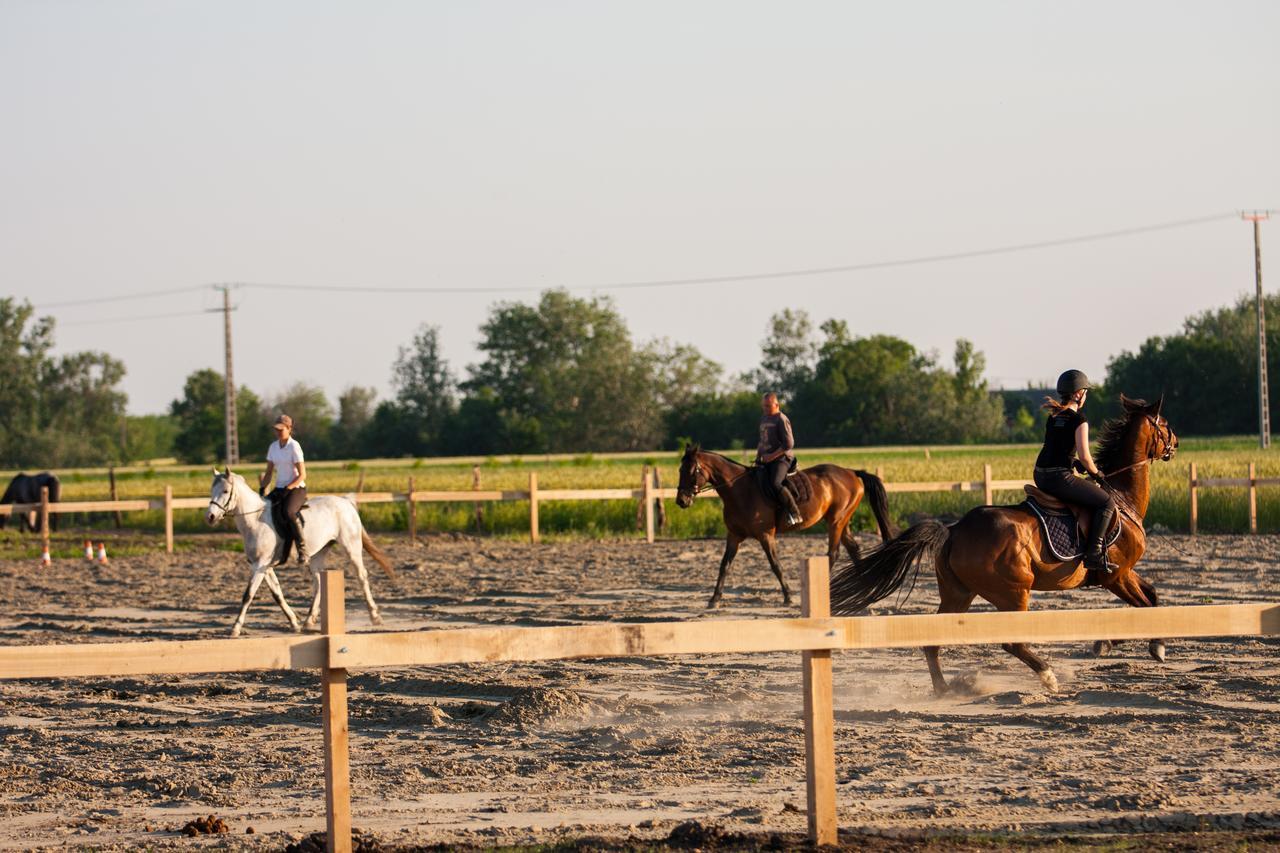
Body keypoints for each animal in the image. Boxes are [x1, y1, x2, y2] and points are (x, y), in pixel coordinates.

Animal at [203, 468, 394, 635]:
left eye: (226, 491)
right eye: (212, 490)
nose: (210, 517)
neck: (255, 520)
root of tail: (345, 501)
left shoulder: (260, 564)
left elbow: (248, 595)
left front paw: (235, 628)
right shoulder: (264, 566)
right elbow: (277, 594)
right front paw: (294, 622)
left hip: (351, 547)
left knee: (361, 575)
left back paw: (375, 616)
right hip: (318, 554)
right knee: (318, 581)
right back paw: (309, 620)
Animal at [675, 440, 896, 607]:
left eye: (692, 470)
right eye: (680, 469)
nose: (681, 501)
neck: (740, 491)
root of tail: (851, 472)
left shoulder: (765, 535)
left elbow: (775, 565)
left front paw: (788, 597)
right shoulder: (734, 535)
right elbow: (724, 565)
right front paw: (714, 599)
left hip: (836, 521)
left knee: (833, 553)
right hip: (841, 521)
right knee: (853, 549)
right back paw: (865, 589)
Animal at [829, 394, 1177, 696]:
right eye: (1165, 423)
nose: (1175, 445)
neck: (1122, 498)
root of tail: (954, 530)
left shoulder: (1125, 573)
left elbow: (1153, 597)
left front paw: (1118, 643)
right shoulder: (1115, 576)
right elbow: (1146, 607)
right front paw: (1143, 644)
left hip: (959, 593)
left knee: (934, 639)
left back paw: (944, 688)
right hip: (1013, 591)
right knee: (1012, 642)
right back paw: (1047, 676)